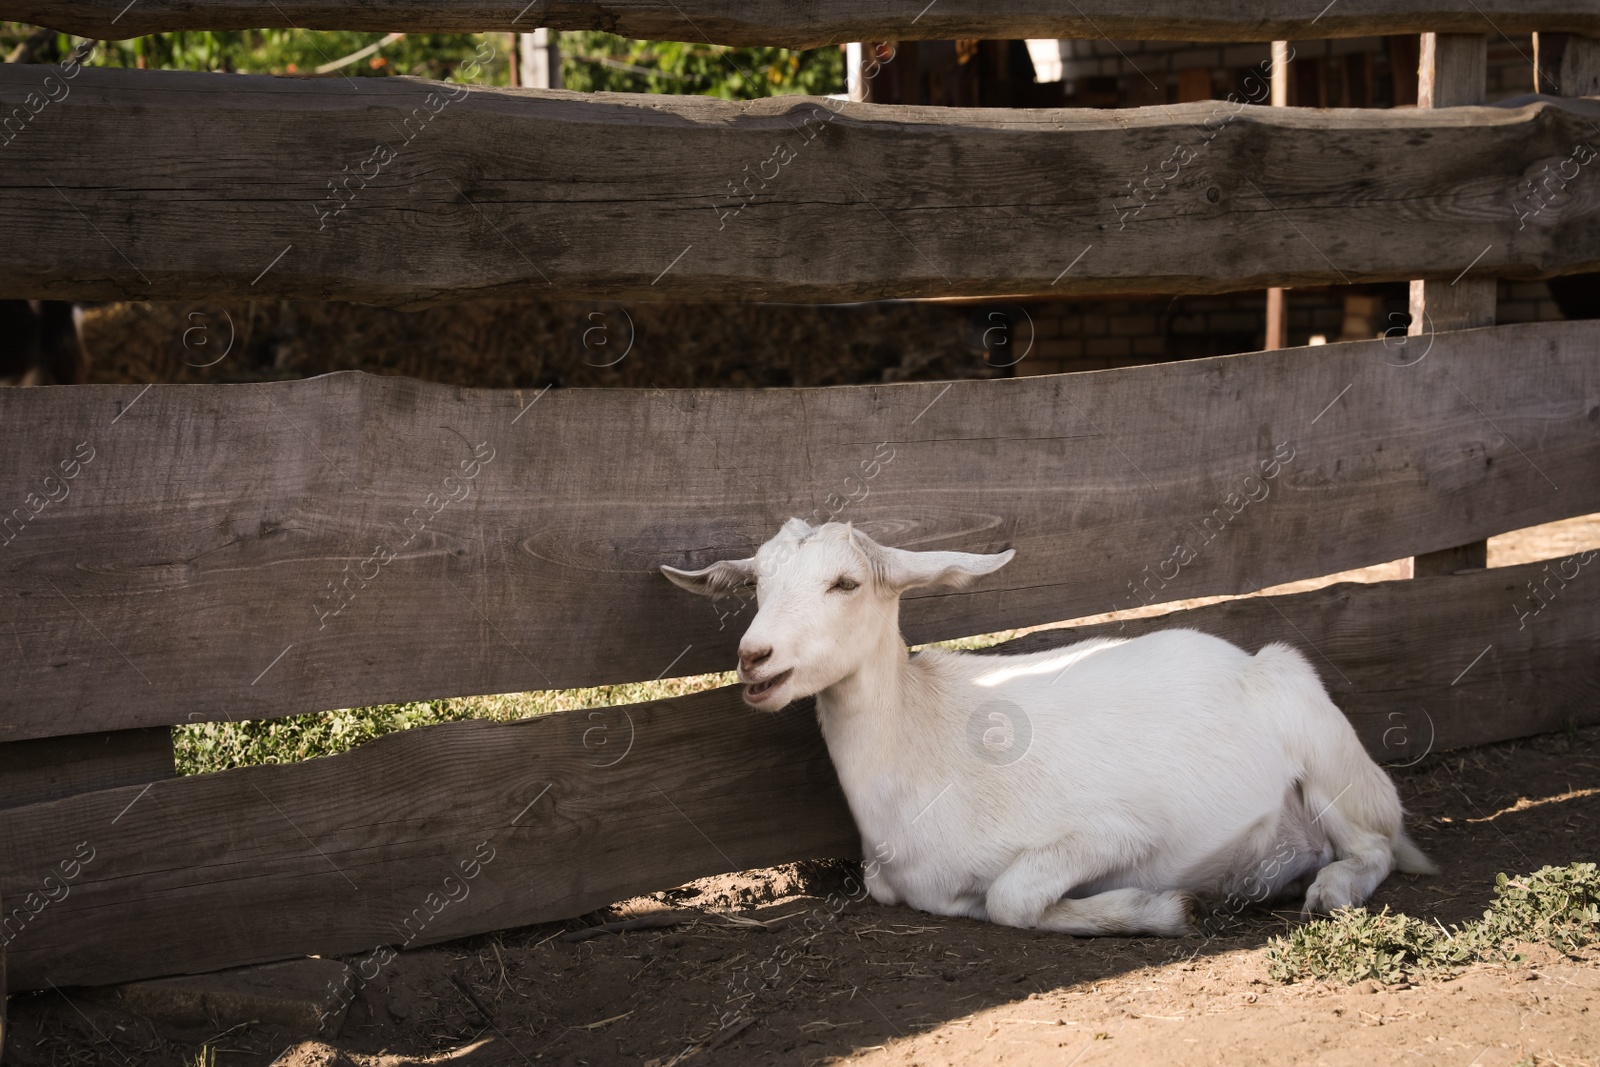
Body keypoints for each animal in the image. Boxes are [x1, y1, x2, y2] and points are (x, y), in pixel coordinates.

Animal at [662, 521, 1440, 940]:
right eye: (757, 583)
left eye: (846, 583)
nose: (754, 657)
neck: (920, 739)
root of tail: (1250, 659)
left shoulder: (1117, 829)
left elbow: (1010, 899)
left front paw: (1164, 907)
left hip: (1329, 753)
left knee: (1374, 845)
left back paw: (1327, 889)